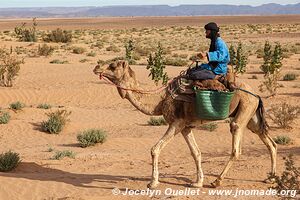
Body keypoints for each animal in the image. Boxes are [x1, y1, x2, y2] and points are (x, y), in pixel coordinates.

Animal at [93, 60, 276, 188]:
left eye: (112, 65)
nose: (96, 67)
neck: (160, 100)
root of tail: (256, 95)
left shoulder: (176, 123)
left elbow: (155, 149)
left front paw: (152, 183)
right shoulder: (186, 127)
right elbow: (196, 152)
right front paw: (197, 182)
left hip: (244, 110)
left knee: (236, 146)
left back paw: (217, 181)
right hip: (251, 115)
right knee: (270, 143)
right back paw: (271, 178)